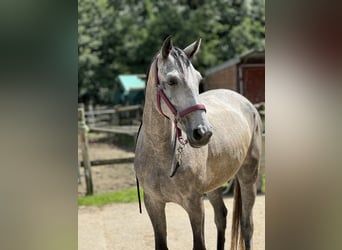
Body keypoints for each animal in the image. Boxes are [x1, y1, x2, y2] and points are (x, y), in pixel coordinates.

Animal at [134, 35, 262, 250]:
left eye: (199, 80)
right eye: (172, 81)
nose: (203, 133)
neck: (160, 154)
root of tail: (247, 103)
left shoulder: (194, 204)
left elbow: (199, 244)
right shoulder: (154, 204)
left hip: (248, 175)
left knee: (247, 226)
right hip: (214, 185)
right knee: (221, 217)